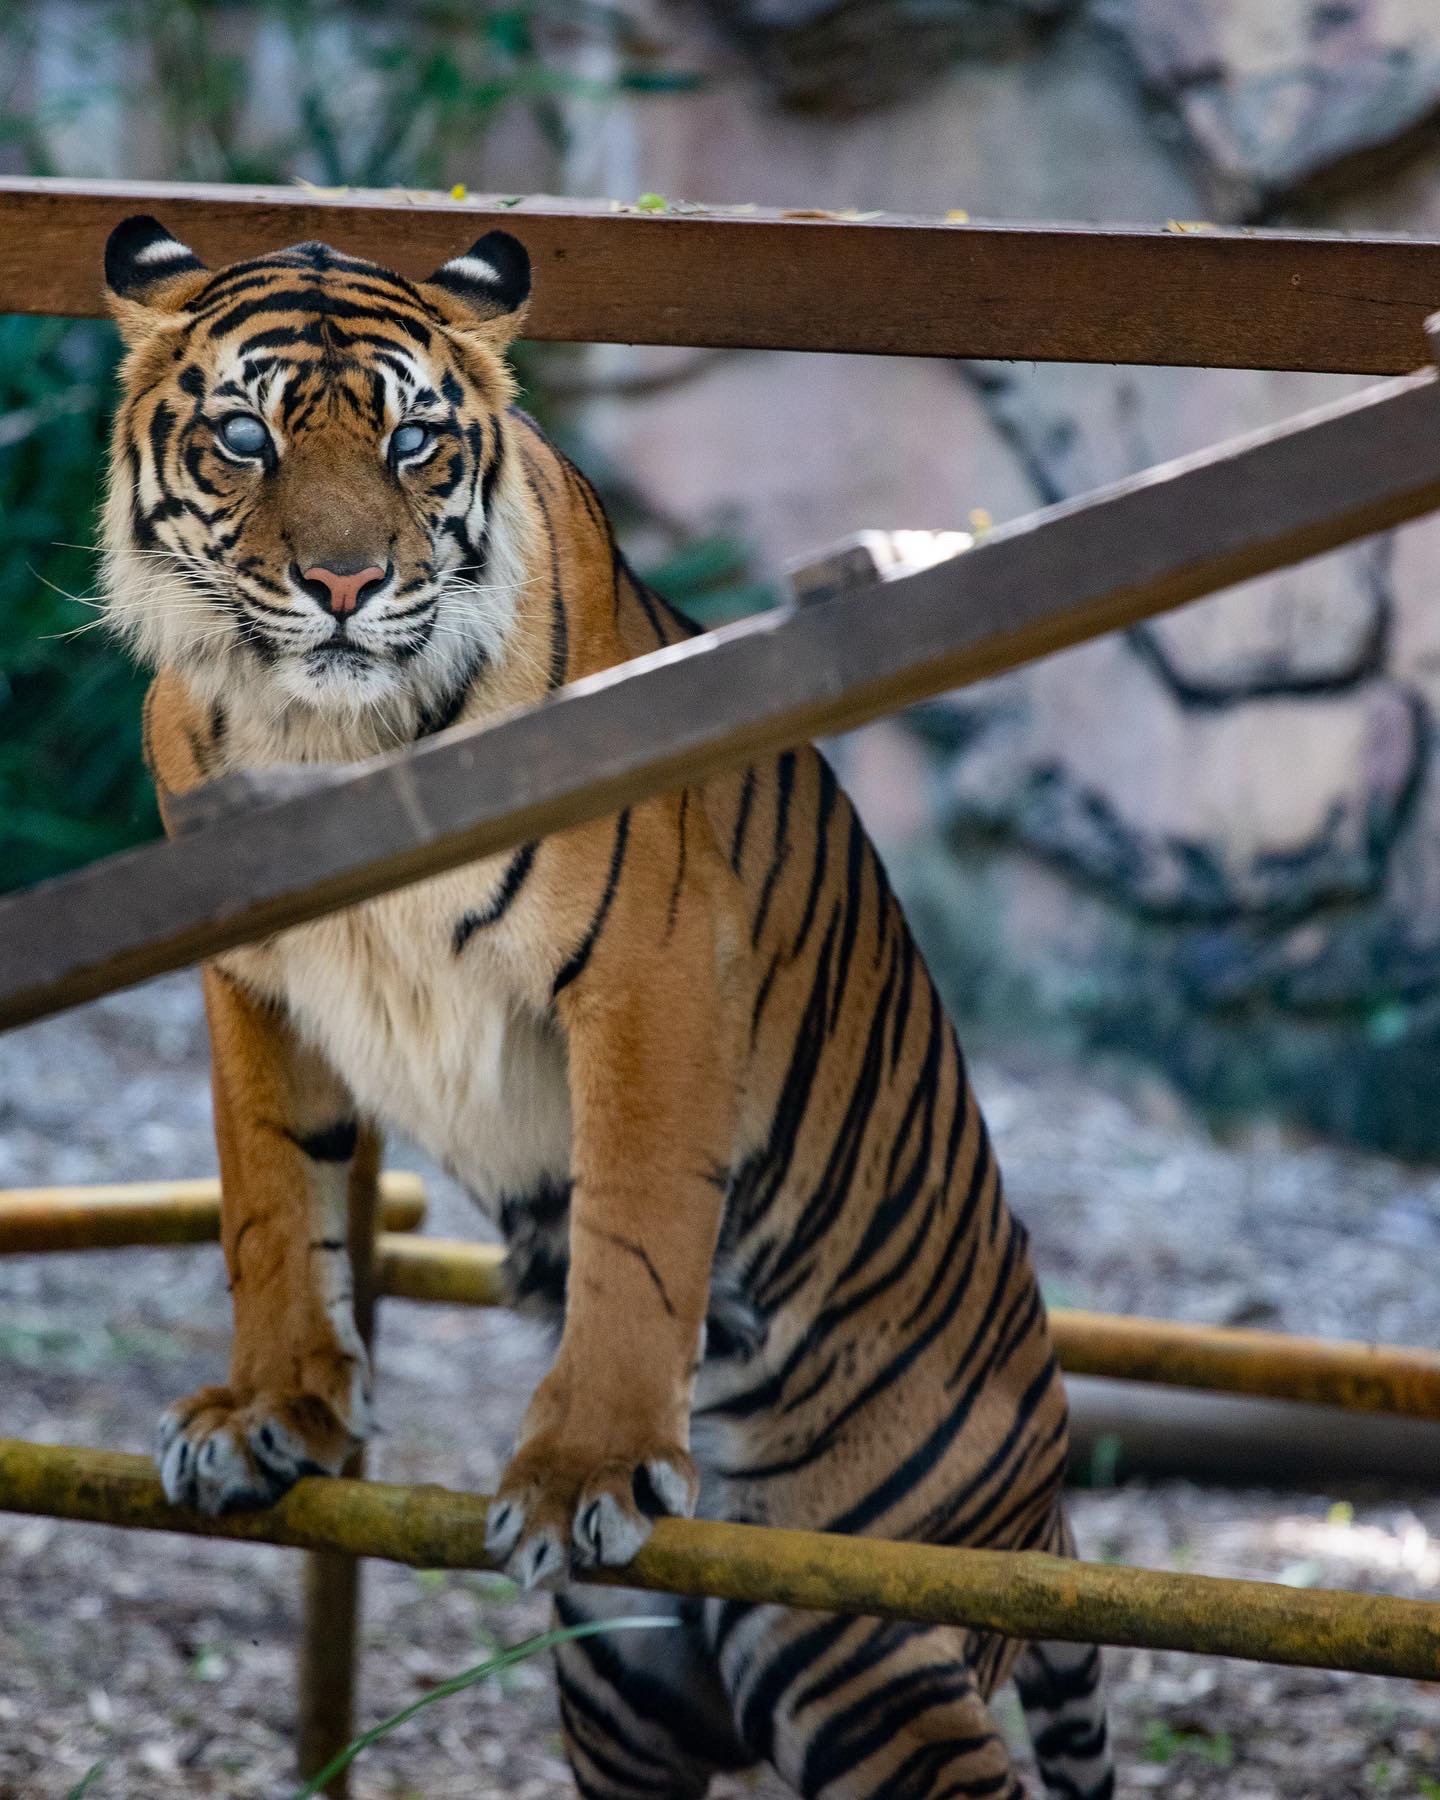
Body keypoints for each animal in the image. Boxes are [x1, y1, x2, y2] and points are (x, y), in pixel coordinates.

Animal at [99, 210, 1116, 1800]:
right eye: (245, 436)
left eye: (410, 443)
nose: (343, 586)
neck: (324, 737)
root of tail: (1056, 1504)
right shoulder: (253, 975)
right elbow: (270, 1202)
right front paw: (268, 1413)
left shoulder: (650, 966)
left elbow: (635, 1227)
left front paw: (582, 1467)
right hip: (627, 1674)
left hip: (857, 1636)